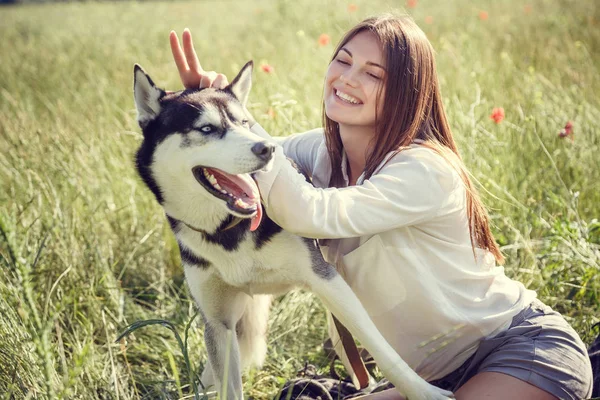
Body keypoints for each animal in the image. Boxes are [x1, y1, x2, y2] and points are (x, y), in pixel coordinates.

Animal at [130, 60, 450, 400]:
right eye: (206, 129)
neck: (227, 230)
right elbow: (228, 382)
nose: (268, 148)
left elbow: (382, 349)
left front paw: (424, 391)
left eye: (245, 123)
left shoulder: (326, 280)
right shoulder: (218, 321)